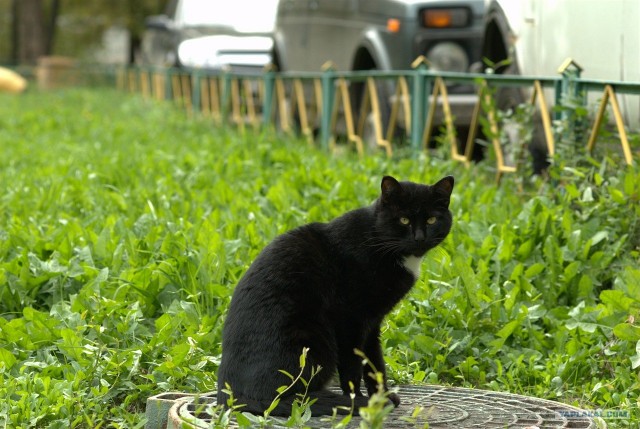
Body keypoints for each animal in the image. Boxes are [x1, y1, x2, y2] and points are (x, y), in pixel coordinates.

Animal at [218, 174, 452, 414]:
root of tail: (233, 396)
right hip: (315, 341)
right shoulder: (349, 319)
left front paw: (381, 397)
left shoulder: (372, 322)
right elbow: (352, 366)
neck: (377, 240)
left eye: (432, 220)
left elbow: (374, 362)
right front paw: (358, 401)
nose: (419, 238)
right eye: (404, 220)